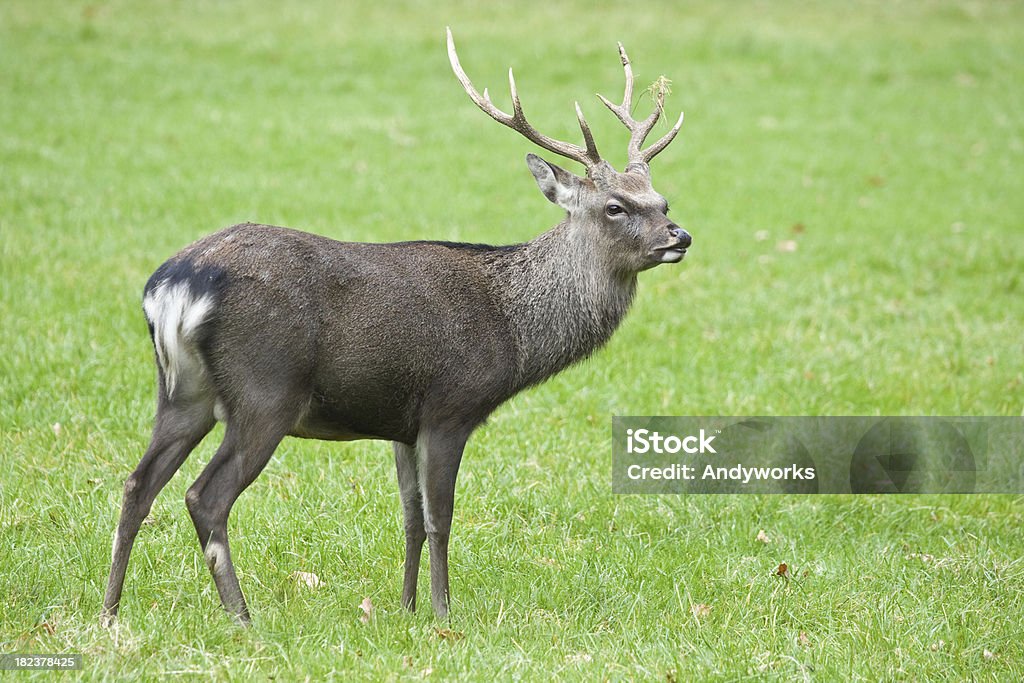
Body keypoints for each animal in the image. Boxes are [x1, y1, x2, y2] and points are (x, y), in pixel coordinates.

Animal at [101, 26, 688, 626]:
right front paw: (443, 614)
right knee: (205, 496)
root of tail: (177, 282)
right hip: (264, 391)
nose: (680, 236)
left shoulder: (400, 422)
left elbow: (409, 517)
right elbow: (439, 519)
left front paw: (405, 608)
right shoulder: (449, 407)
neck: (513, 330)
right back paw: (243, 618)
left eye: (662, 200)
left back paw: (110, 612)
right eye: (615, 206)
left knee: (136, 484)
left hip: (183, 392)